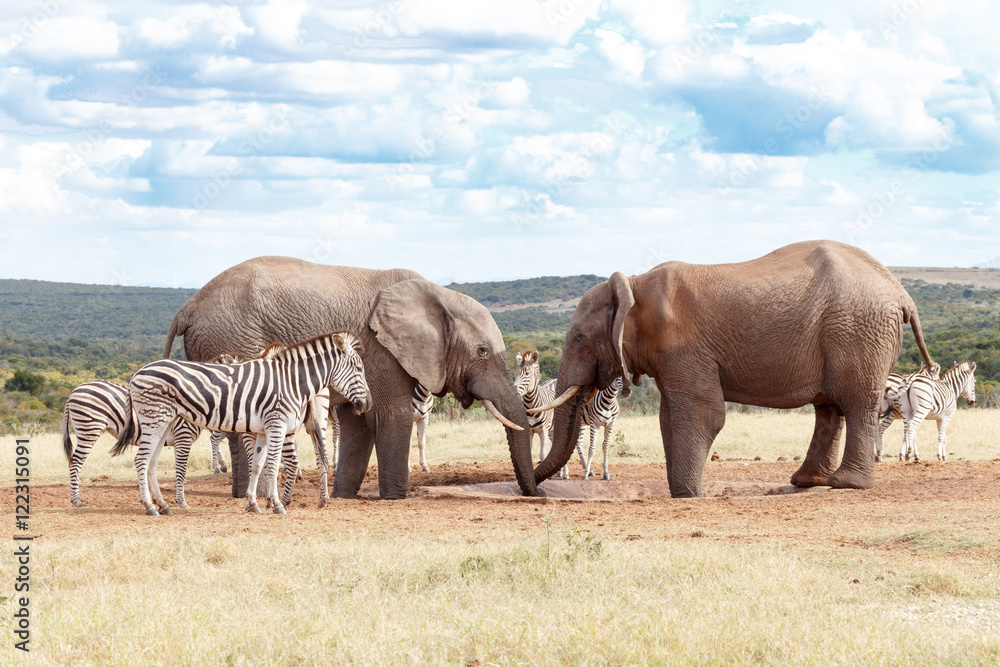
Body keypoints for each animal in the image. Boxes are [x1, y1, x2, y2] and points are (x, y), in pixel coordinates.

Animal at [163, 256, 539, 500]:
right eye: (483, 352)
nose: (534, 493)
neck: (436, 295)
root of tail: (186, 308)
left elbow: (358, 424)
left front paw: (344, 496)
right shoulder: (382, 350)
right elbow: (392, 416)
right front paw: (394, 498)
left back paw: (241, 496)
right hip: (234, 341)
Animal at [531, 240, 936, 498]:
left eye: (579, 338)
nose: (532, 489)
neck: (634, 285)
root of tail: (902, 294)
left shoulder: (685, 347)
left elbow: (702, 413)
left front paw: (687, 495)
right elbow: (669, 416)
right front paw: (682, 491)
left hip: (857, 331)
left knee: (855, 403)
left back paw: (845, 485)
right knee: (829, 407)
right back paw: (806, 482)